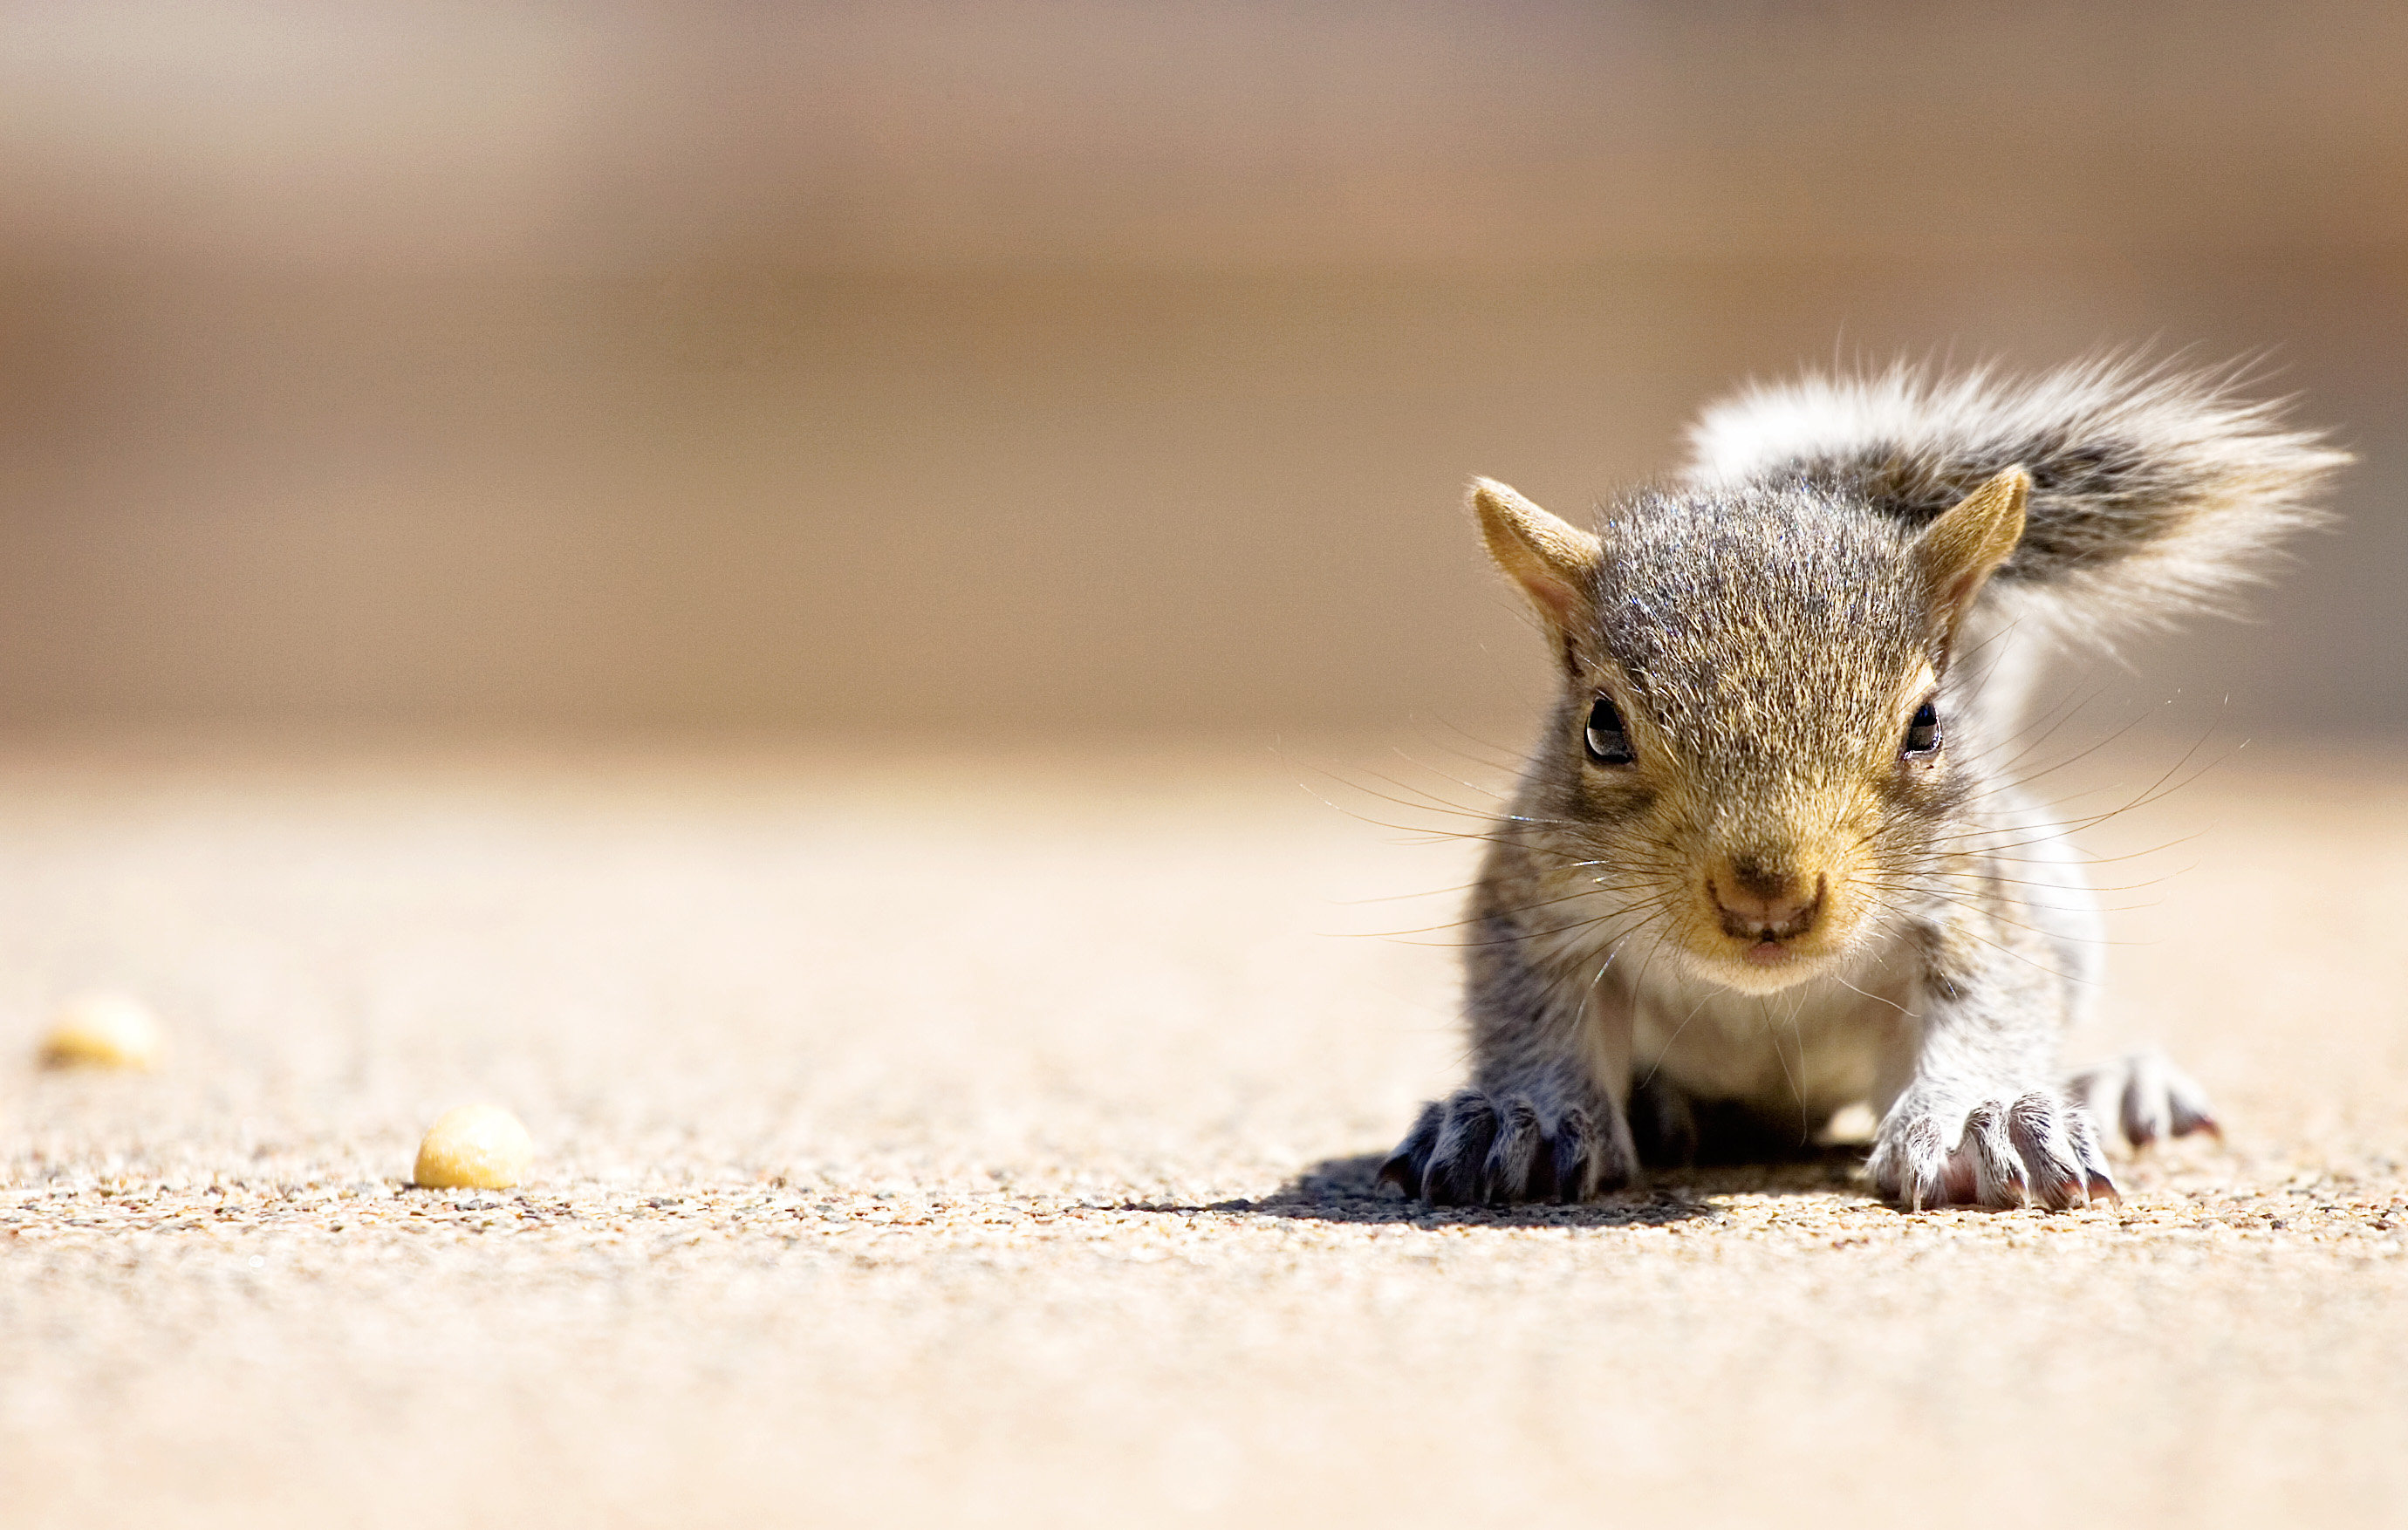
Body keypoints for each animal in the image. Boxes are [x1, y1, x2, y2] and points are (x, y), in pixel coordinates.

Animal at [1377, 358, 2346, 1210]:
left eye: (1927, 724)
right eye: (1602, 729)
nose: (1766, 894)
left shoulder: (1971, 906)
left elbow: (1992, 1001)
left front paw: (1979, 1122)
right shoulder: (1536, 903)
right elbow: (1533, 1011)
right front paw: (1525, 1120)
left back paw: (2118, 1083)